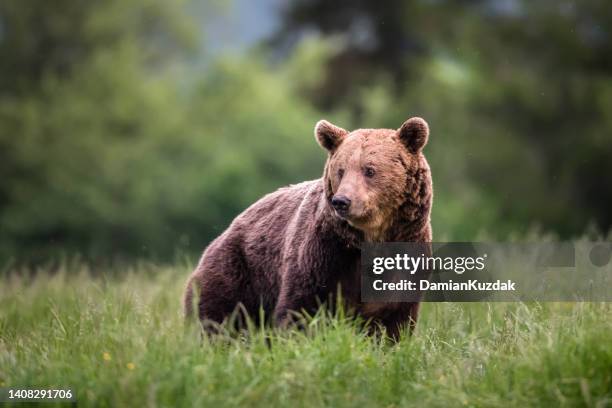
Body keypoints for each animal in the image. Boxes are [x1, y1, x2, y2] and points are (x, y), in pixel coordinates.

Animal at [184, 118, 432, 342]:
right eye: (341, 170)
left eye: (369, 170)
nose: (342, 201)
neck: (370, 237)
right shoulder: (324, 254)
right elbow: (301, 308)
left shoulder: (406, 256)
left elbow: (393, 321)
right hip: (238, 273)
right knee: (219, 319)